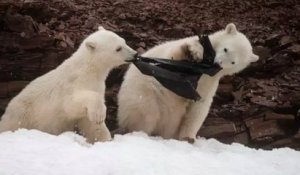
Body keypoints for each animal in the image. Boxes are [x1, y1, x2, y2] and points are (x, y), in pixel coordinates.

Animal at [0, 26, 137, 143]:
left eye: (124, 41)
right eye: (118, 48)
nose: (135, 54)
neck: (88, 70)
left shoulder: (97, 86)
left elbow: (89, 123)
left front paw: (104, 139)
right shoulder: (70, 86)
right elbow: (72, 104)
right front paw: (99, 115)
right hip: (22, 116)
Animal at [117, 23, 258, 143]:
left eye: (233, 62)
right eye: (225, 49)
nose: (218, 64)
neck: (207, 68)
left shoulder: (210, 81)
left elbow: (199, 105)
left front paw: (188, 138)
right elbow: (174, 55)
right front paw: (192, 51)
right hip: (144, 94)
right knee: (146, 113)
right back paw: (140, 132)